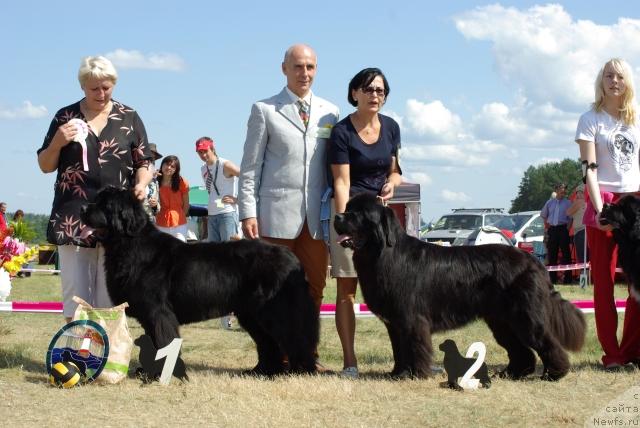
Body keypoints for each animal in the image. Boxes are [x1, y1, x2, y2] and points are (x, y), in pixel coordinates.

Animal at [80, 187, 320, 374]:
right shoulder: (148, 314)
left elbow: (162, 342)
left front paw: (160, 374)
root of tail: (292, 258)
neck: (129, 244)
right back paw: (262, 371)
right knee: (268, 343)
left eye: (104, 205)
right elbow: (153, 343)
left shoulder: (158, 312)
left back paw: (301, 370)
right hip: (250, 314)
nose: (82, 208)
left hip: (275, 311)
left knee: (295, 337)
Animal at [332, 192, 588, 380]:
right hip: (502, 320)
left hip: (524, 315)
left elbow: (414, 347)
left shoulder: (411, 319)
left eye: (358, 213)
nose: (337, 217)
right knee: (520, 349)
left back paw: (554, 374)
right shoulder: (394, 323)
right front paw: (398, 374)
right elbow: (399, 349)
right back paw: (511, 373)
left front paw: (417, 374)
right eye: (348, 207)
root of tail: (533, 260)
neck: (382, 253)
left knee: (545, 341)